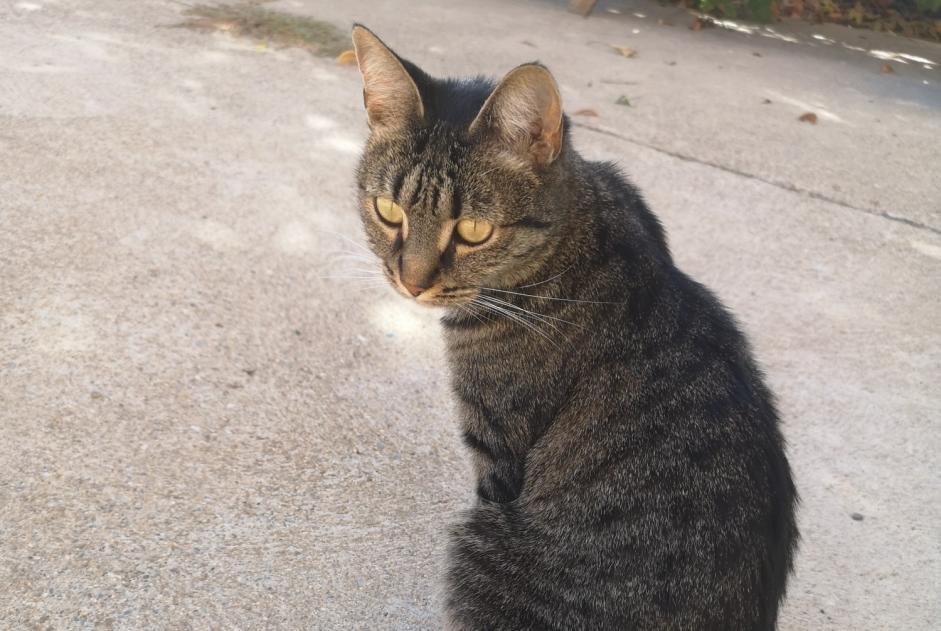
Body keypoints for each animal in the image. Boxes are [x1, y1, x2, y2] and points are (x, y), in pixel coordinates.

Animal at [348, 24, 796, 631]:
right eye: (388, 210)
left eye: (473, 230)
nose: (411, 283)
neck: (570, 238)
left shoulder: (498, 453)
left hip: (482, 542)